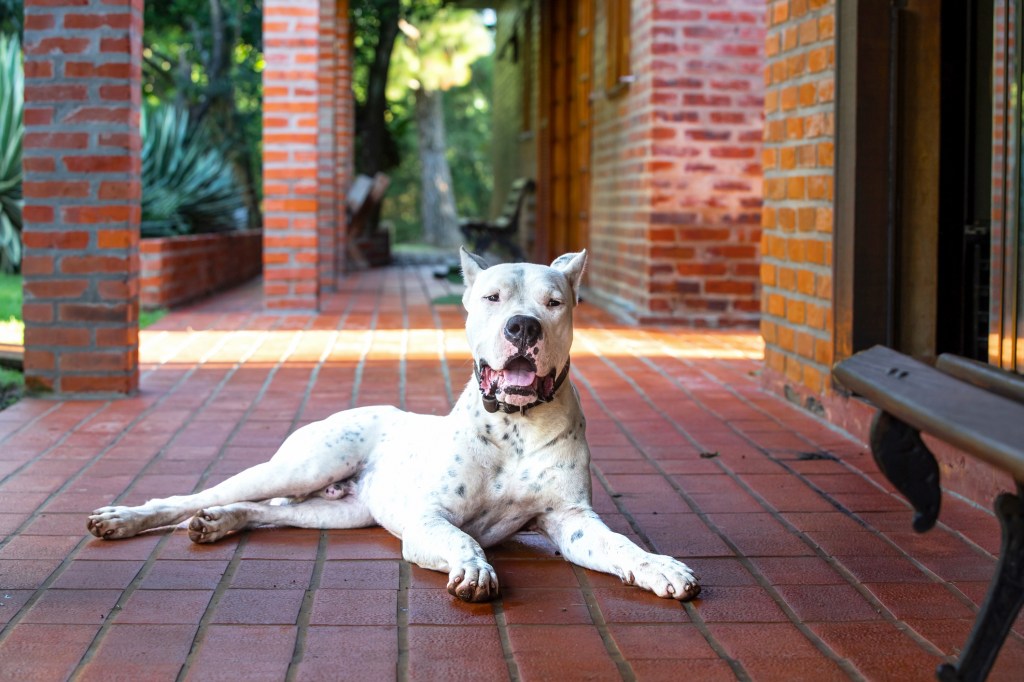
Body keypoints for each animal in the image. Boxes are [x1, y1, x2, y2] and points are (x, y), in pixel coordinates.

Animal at [88, 248, 700, 602]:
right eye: (492, 297)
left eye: (554, 302)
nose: (523, 327)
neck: (515, 428)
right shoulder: (429, 518)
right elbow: (461, 537)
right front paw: (474, 568)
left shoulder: (572, 520)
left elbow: (620, 545)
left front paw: (659, 567)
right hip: (303, 465)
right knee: (192, 496)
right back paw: (124, 518)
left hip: (338, 512)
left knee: (261, 513)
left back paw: (218, 524)